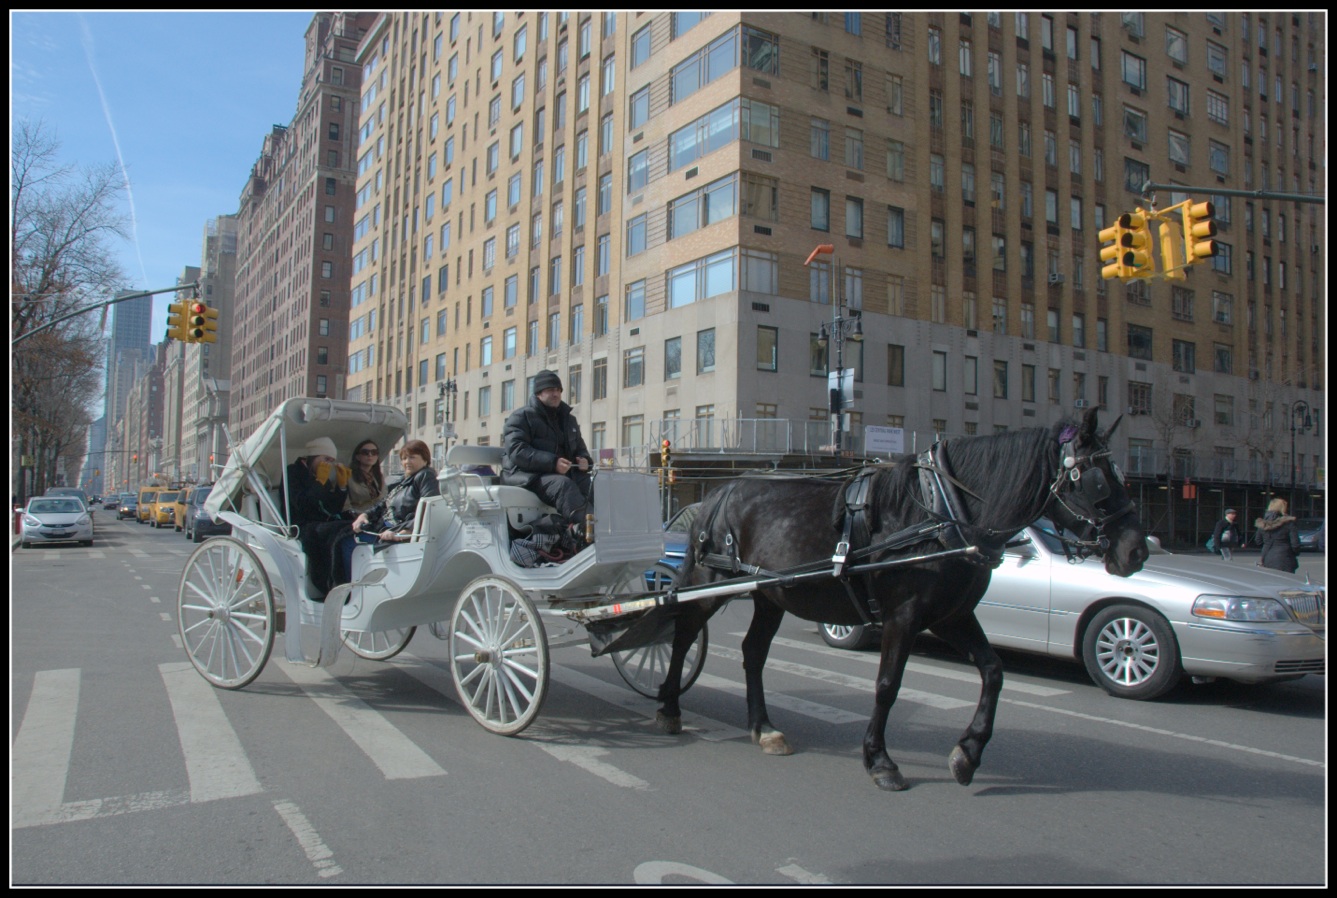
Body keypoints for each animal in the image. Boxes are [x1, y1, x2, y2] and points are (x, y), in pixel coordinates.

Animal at [657, 411, 1149, 791]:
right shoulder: (903, 617)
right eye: (1098, 481)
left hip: (770, 596)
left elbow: (993, 671)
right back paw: (668, 707)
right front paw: (880, 760)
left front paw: (968, 753)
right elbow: (887, 685)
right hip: (707, 583)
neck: (945, 513)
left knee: (753, 653)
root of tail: (718, 492)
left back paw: (764, 728)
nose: (1137, 551)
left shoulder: (952, 616)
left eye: (1122, 476)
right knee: (681, 635)